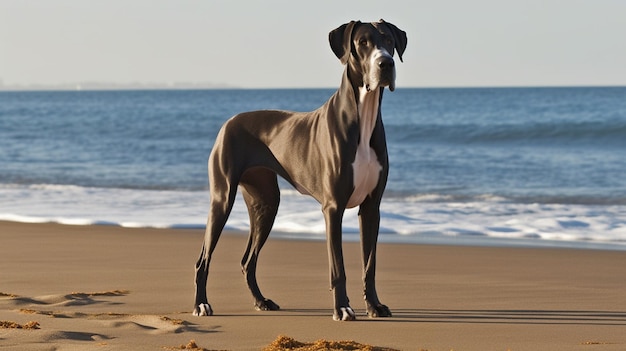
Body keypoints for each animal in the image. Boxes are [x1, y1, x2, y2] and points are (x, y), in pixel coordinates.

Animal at [194, 19, 404, 322]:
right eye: (363, 42)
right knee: (203, 259)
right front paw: (342, 308)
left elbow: (370, 264)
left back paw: (261, 301)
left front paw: (374, 306)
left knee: (248, 261)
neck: (363, 117)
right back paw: (201, 304)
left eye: (388, 40)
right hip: (222, 198)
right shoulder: (333, 207)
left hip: (266, 202)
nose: (385, 63)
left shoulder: (371, 206)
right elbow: (338, 268)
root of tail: (229, 122)